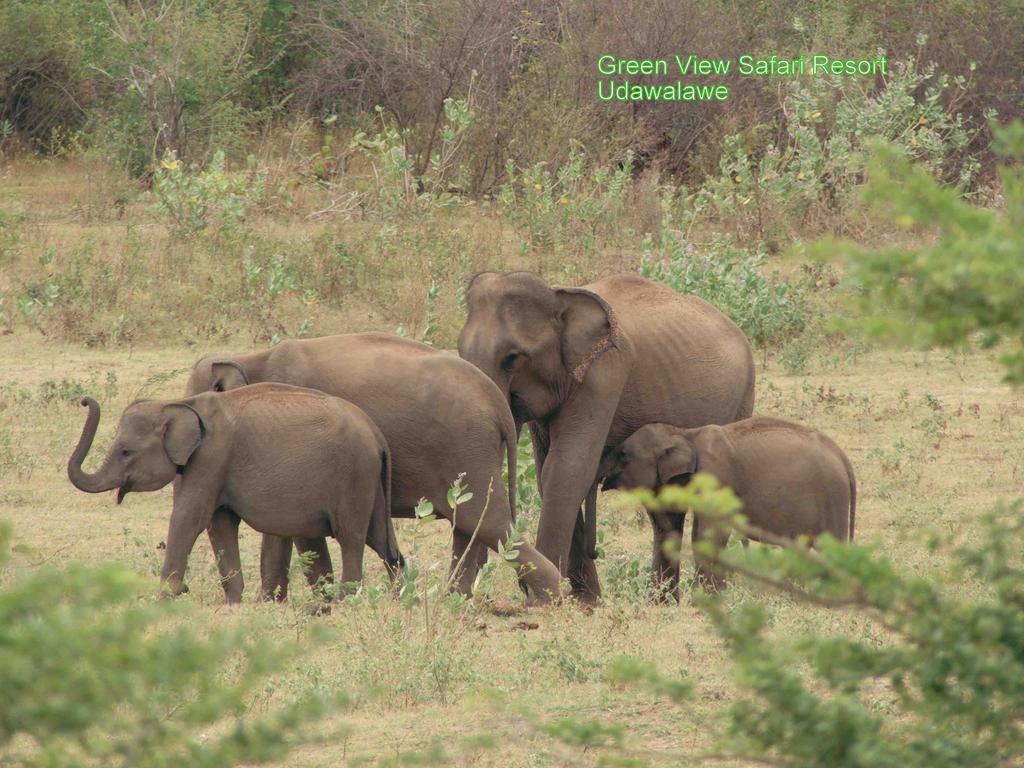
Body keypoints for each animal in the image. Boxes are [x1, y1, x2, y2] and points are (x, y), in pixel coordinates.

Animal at [67, 382, 403, 602]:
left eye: (126, 451)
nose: (84, 400)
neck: (180, 403)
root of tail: (376, 435)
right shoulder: (202, 465)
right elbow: (219, 524)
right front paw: (233, 602)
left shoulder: (211, 458)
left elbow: (190, 518)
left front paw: (163, 600)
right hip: (368, 479)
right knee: (381, 539)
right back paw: (398, 596)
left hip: (354, 474)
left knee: (351, 537)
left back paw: (347, 598)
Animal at [188, 333, 565, 606]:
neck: (252, 359)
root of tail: (496, 400)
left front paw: (272, 602)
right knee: (471, 525)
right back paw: (456, 598)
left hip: (466, 449)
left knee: (485, 522)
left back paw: (544, 599)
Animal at [456, 274, 753, 606]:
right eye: (459, 351)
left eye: (511, 358)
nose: (469, 594)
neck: (560, 296)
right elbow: (547, 473)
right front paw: (586, 602)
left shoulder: (605, 372)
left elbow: (567, 468)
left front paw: (545, 601)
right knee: (664, 506)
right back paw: (661, 602)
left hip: (741, 403)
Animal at [598, 415, 856, 602]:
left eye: (623, 454)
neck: (685, 433)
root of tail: (842, 457)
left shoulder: (717, 474)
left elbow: (712, 531)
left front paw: (705, 598)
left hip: (833, 498)